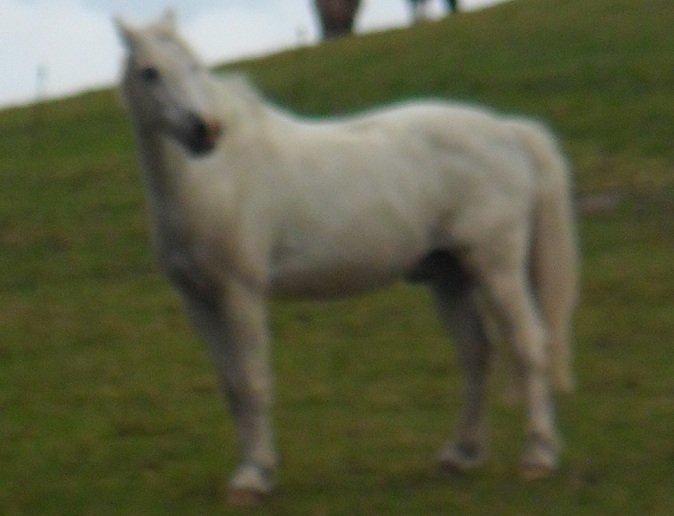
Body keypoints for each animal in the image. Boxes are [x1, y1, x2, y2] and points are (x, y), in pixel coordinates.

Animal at [115, 10, 578, 505]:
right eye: (149, 72)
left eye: (195, 66)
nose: (205, 131)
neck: (217, 177)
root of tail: (508, 132)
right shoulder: (198, 300)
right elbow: (232, 386)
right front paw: (251, 471)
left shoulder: (241, 293)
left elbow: (253, 380)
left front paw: (255, 476)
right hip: (449, 276)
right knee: (476, 353)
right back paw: (461, 454)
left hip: (497, 267)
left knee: (529, 344)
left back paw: (538, 457)